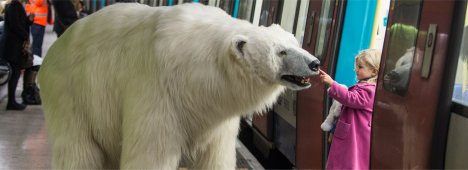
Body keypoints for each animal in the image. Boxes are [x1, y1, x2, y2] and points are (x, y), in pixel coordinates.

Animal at [38, 2, 320, 169]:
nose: (315, 63)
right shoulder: (157, 88)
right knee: (78, 150)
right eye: (281, 52)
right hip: (70, 94)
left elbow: (215, 155)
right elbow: (151, 152)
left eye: (295, 41)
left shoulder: (214, 113)